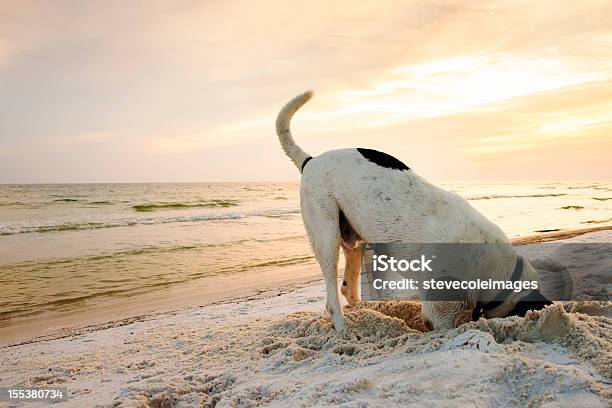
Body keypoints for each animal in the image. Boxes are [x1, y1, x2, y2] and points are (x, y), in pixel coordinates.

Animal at [274, 91, 552, 330]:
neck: (501, 271)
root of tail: (311, 160)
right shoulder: (440, 309)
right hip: (326, 234)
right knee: (332, 295)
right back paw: (343, 328)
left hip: (353, 238)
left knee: (348, 288)